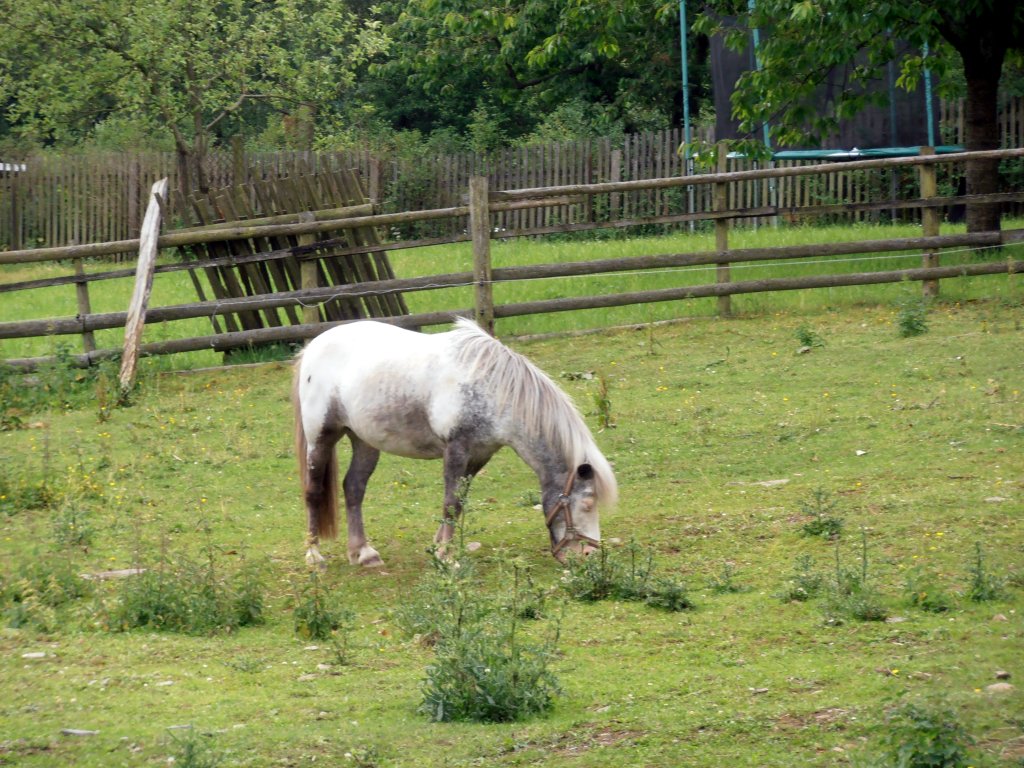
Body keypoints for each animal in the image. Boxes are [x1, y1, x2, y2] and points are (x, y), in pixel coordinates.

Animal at [292, 315, 618, 569]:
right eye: (588, 503)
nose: (588, 555)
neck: (493, 389)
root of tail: (312, 348)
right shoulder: (456, 449)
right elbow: (450, 503)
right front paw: (447, 556)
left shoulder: (480, 454)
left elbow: (459, 503)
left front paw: (440, 548)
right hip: (321, 437)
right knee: (313, 491)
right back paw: (314, 555)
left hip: (364, 441)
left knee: (354, 488)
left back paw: (363, 552)